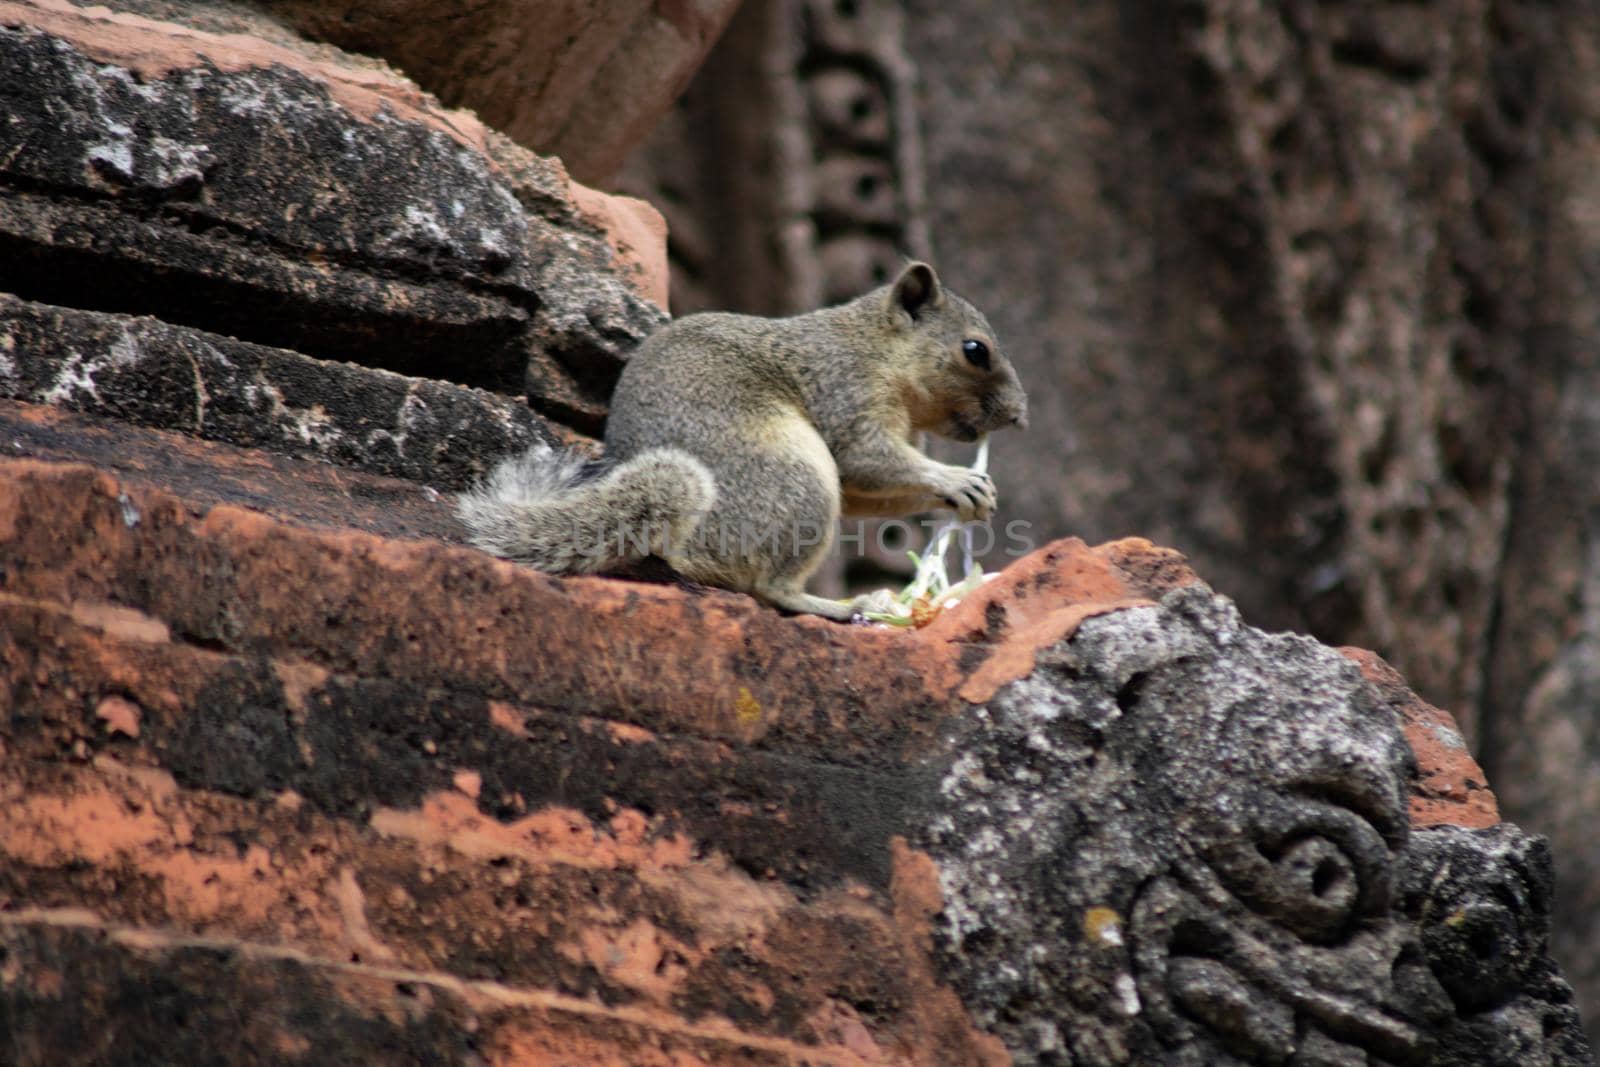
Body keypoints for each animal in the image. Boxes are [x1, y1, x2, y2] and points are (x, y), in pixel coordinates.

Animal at [457, 262, 1030, 620]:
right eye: (974, 350)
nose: (1019, 415)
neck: (876, 349)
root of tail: (680, 546)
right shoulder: (844, 394)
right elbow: (867, 459)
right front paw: (956, 479)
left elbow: (869, 493)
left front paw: (969, 496)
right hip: (797, 482)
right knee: (772, 589)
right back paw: (849, 607)